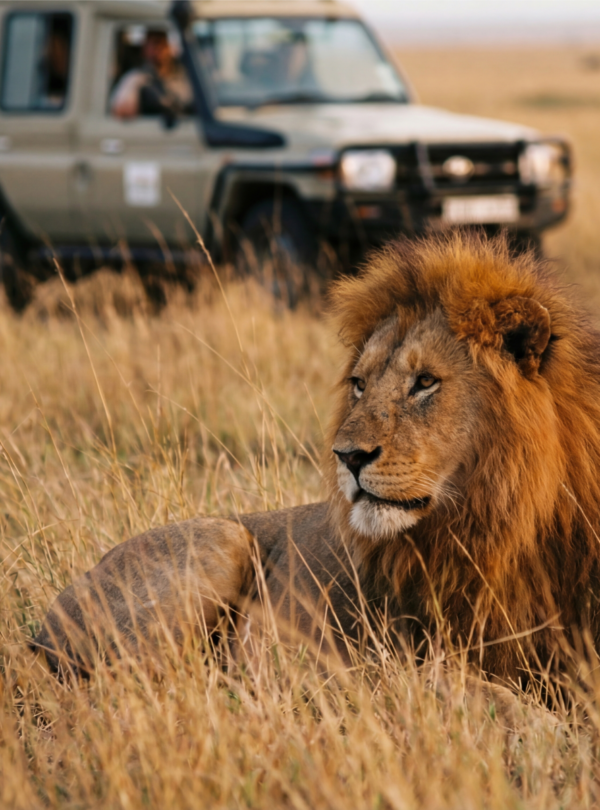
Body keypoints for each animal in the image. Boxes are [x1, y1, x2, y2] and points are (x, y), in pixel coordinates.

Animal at [32, 233, 600, 684]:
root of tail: (42, 625)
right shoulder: (409, 661)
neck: (508, 522)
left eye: (425, 382)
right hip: (220, 540)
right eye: (360, 384)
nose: (347, 457)